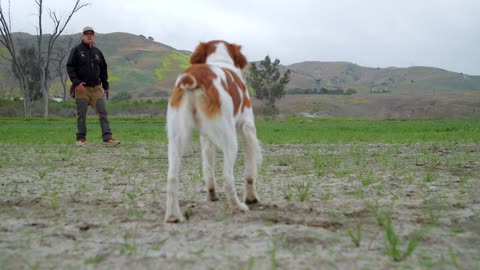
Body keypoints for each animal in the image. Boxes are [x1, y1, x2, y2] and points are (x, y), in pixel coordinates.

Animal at [165, 39, 262, 221]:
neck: (220, 60)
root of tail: (193, 77)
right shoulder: (248, 128)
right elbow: (250, 173)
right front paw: (252, 198)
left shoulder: (206, 138)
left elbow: (208, 172)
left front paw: (211, 196)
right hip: (229, 138)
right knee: (228, 177)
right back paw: (237, 206)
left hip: (176, 138)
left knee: (172, 178)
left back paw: (173, 216)